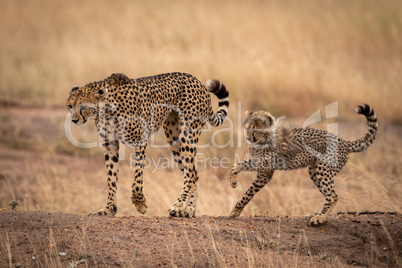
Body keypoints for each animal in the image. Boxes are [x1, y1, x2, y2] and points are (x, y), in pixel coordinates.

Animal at [66, 72, 229, 217]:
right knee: (195, 173)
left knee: (190, 174)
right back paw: (188, 210)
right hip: (174, 140)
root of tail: (197, 81)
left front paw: (140, 203)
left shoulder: (140, 140)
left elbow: (137, 177)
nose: (74, 120)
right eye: (69, 106)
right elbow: (111, 178)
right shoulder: (110, 144)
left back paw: (178, 206)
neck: (106, 109)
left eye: (83, 107)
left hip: (187, 136)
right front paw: (109, 209)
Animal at [229, 103, 376, 225]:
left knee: (333, 196)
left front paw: (235, 211)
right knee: (329, 194)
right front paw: (233, 181)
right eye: (246, 128)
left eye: (254, 130)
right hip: (314, 171)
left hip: (323, 169)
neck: (264, 139)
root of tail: (344, 141)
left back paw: (319, 218)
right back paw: (318, 214)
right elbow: (238, 165)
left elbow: (247, 193)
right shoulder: (258, 163)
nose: (248, 138)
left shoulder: (265, 173)